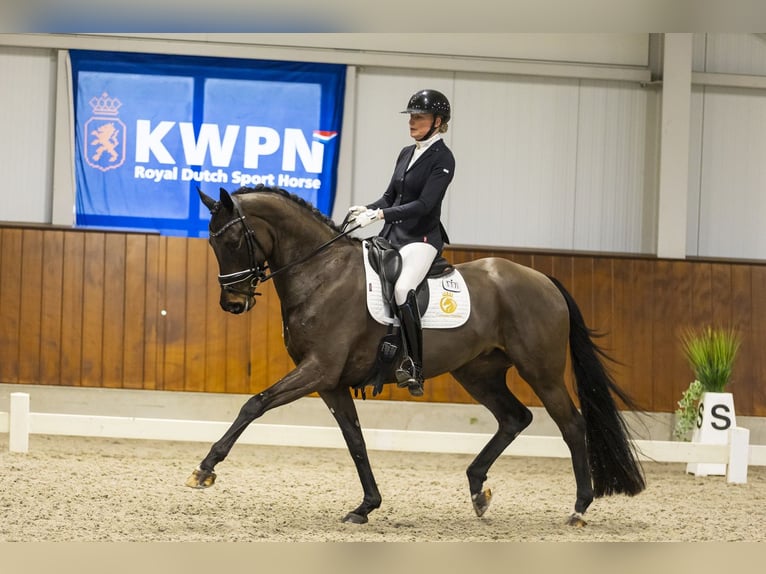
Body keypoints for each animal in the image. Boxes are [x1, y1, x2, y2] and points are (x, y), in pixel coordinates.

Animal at [189, 184, 644, 528]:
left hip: (541, 371)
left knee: (571, 425)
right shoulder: (332, 382)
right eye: (211, 241)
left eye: (232, 240)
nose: (232, 303)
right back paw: (477, 489)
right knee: (515, 418)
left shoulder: (318, 370)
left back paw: (579, 508)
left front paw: (205, 469)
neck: (322, 273)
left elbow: (254, 404)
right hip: (477, 372)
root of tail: (544, 279)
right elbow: (355, 440)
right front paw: (366, 506)